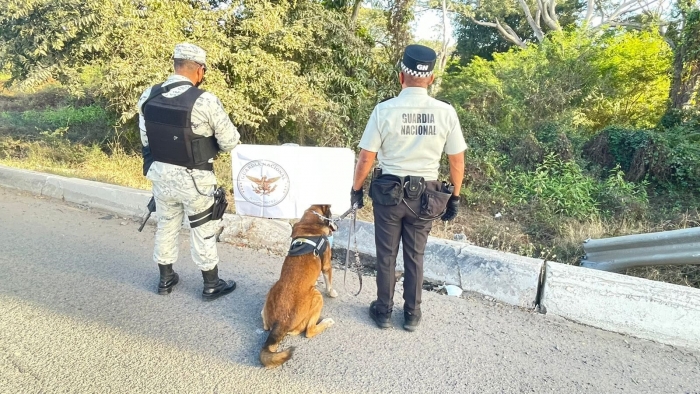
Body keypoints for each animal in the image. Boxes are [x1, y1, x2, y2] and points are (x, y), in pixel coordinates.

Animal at [262, 205, 340, 368]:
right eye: (332, 216)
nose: (338, 225)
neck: (311, 221)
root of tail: (280, 322)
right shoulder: (327, 266)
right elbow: (329, 282)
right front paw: (331, 292)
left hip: (273, 288)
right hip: (317, 296)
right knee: (310, 331)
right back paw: (326, 322)